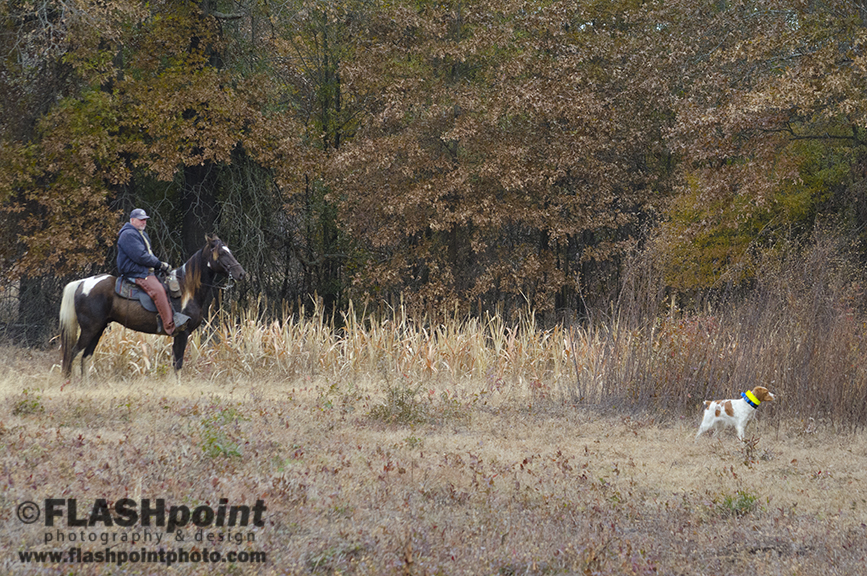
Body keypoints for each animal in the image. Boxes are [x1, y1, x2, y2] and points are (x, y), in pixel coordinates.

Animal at [60, 233, 246, 378]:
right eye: (221, 253)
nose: (241, 274)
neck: (186, 289)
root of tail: (82, 283)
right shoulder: (182, 333)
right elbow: (178, 364)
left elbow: (175, 363)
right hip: (90, 329)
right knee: (73, 354)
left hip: (98, 329)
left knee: (85, 356)